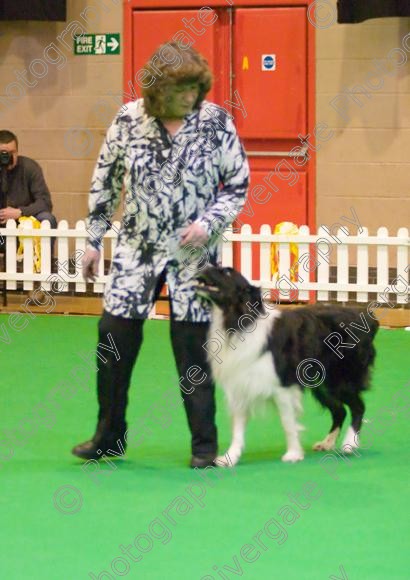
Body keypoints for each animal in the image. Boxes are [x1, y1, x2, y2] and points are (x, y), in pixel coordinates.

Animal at [195, 268, 378, 466]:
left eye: (226, 272)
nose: (202, 266)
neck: (238, 319)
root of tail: (369, 319)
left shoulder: (283, 386)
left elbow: (288, 423)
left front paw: (293, 453)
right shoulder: (242, 383)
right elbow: (237, 428)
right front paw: (230, 457)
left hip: (339, 379)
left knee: (358, 407)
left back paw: (349, 444)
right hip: (321, 383)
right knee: (340, 411)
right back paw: (327, 442)